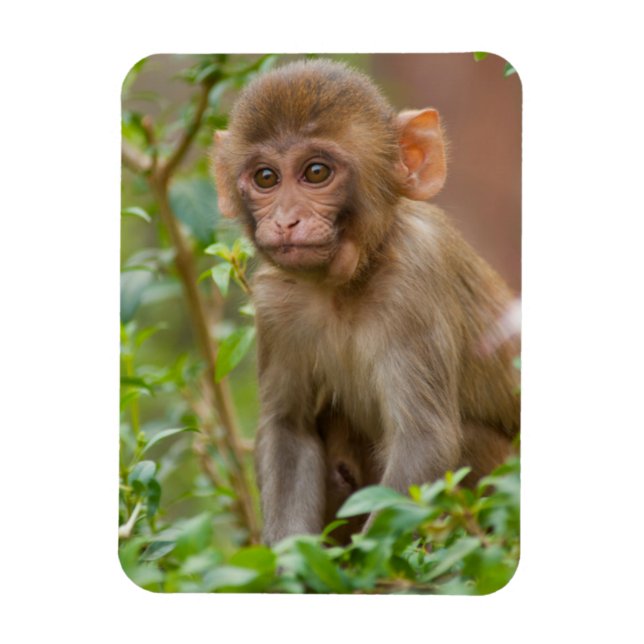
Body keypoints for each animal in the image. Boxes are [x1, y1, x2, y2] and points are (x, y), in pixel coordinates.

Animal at [211, 59, 520, 545]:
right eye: (266, 178)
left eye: (316, 172)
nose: (285, 221)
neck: (346, 283)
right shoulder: (274, 302)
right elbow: (289, 429)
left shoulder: (415, 278)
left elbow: (425, 442)